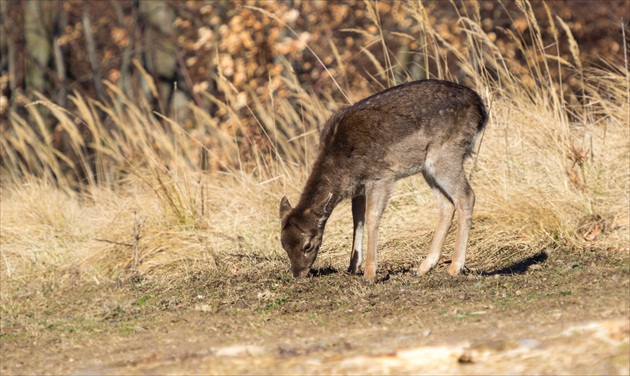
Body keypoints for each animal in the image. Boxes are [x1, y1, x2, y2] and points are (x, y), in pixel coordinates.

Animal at [278, 79, 492, 282]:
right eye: (283, 244)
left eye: (308, 245)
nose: (298, 274)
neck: (342, 166)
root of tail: (480, 107)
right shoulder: (359, 187)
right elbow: (357, 219)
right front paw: (353, 266)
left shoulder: (380, 176)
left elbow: (372, 217)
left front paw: (369, 274)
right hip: (428, 168)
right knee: (447, 204)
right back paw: (423, 268)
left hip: (446, 154)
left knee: (466, 196)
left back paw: (454, 267)